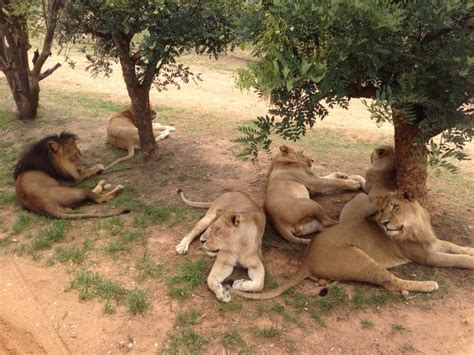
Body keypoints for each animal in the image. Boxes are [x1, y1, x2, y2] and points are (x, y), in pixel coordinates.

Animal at [228, 192, 472, 300]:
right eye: (381, 210)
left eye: (394, 207)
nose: (384, 223)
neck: (415, 224)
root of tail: (306, 259)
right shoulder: (425, 255)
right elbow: (455, 259)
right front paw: (470, 261)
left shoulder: (433, 242)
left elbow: (455, 247)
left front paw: (469, 249)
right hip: (359, 257)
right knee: (389, 282)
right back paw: (428, 285)